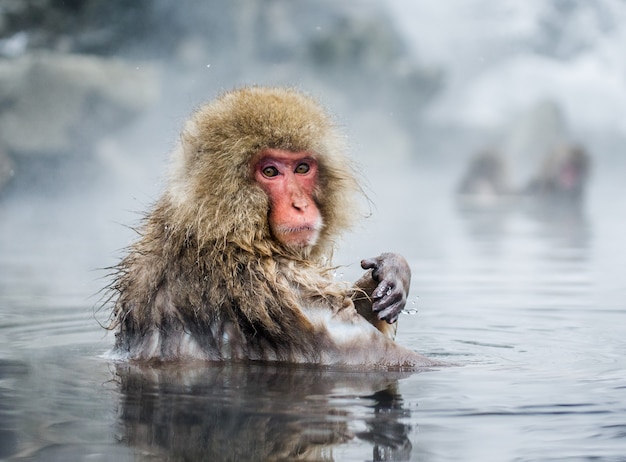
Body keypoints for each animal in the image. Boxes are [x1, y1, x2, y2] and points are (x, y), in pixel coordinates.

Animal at [106, 86, 438, 368]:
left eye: (302, 168)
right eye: (269, 171)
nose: (299, 205)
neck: (222, 228)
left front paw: (392, 271)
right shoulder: (272, 285)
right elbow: (374, 357)